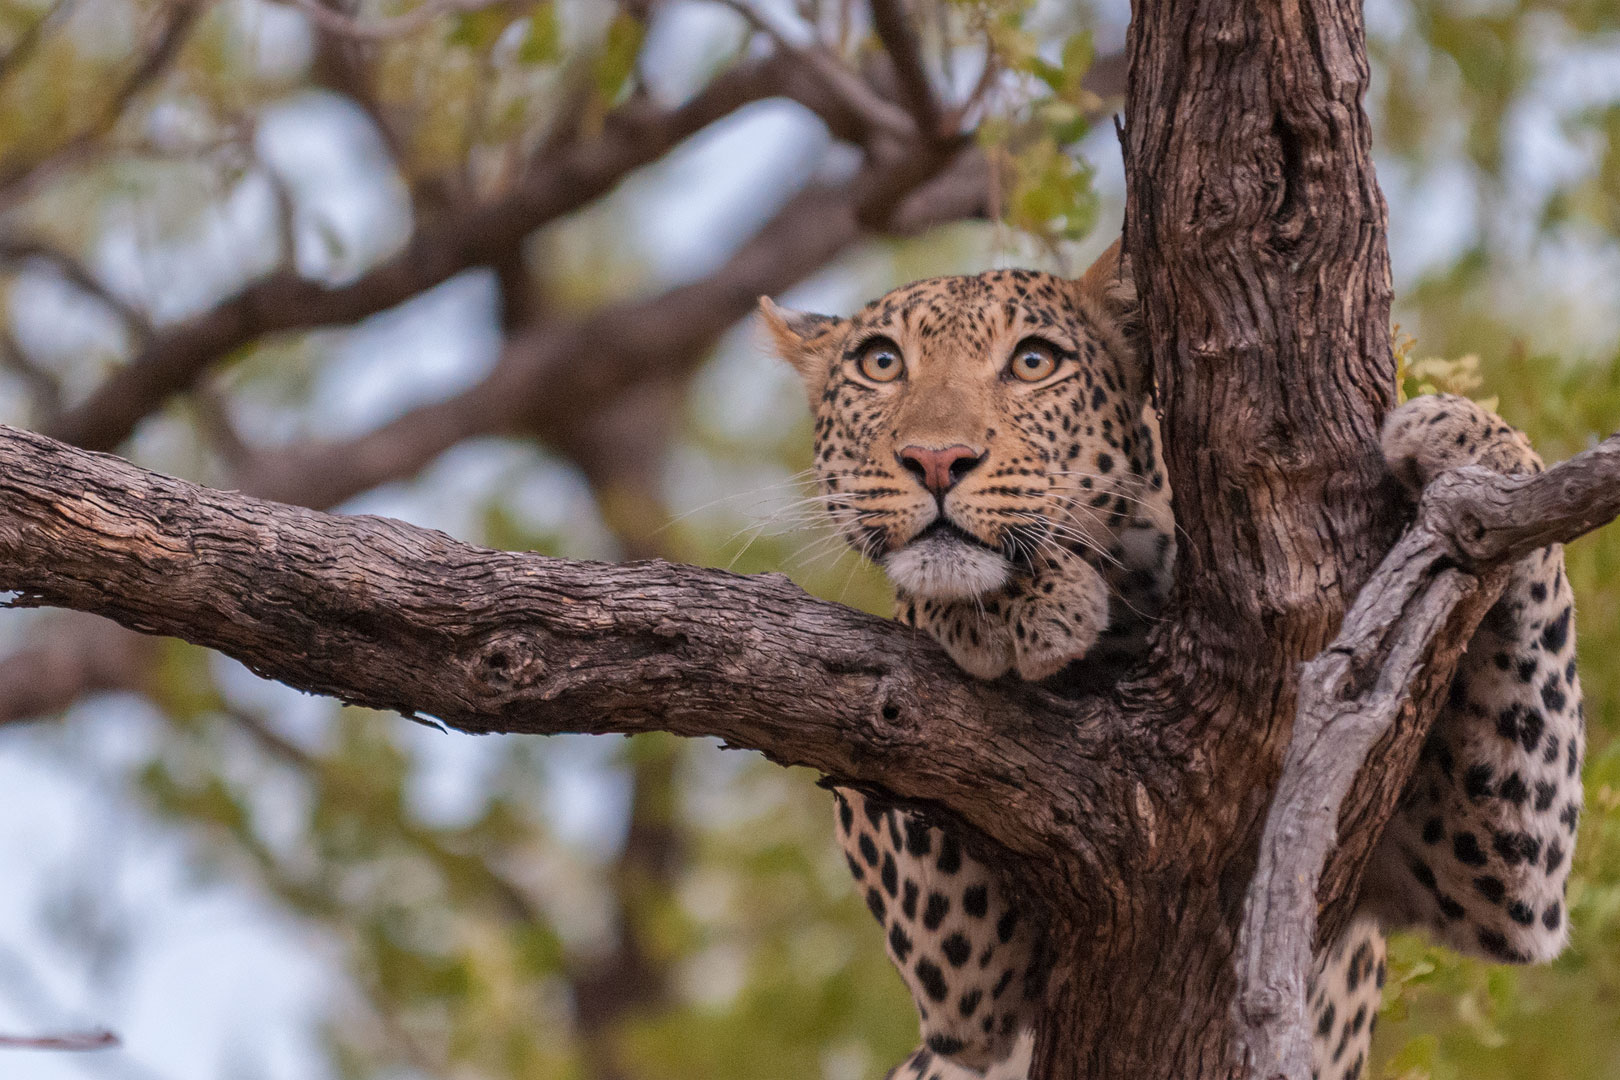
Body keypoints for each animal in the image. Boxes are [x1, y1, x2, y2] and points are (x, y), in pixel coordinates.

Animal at [754, 244, 1581, 1080]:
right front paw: (1012, 604)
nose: (935, 460)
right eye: (882, 363)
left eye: (1033, 362)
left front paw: (1473, 439)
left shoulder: (1500, 880)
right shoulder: (965, 992)